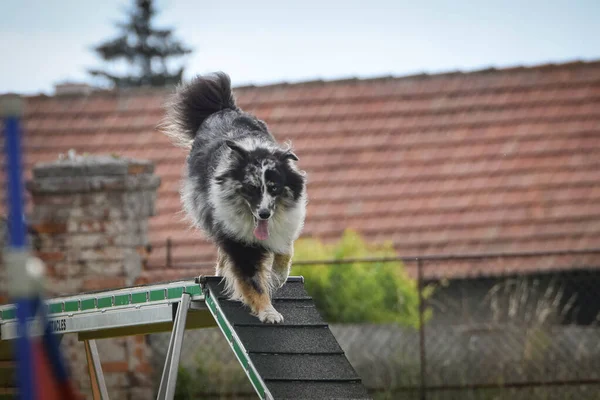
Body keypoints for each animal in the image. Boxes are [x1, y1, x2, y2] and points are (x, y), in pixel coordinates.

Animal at [161, 72, 304, 322]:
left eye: (274, 188)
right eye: (251, 188)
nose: (264, 214)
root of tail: (222, 108)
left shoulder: (286, 223)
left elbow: (284, 250)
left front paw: (278, 277)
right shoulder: (237, 239)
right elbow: (252, 280)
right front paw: (268, 312)